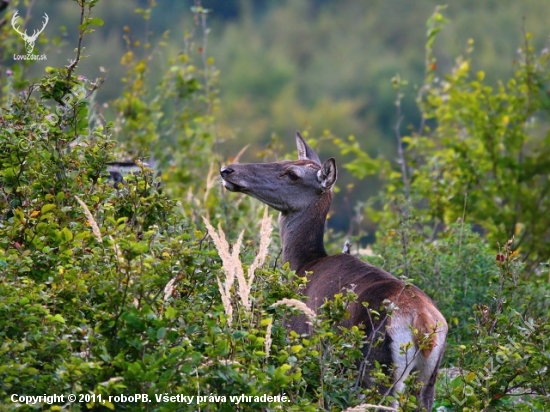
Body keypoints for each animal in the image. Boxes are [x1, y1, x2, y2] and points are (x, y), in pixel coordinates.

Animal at [220, 134, 448, 410]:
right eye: (283, 160)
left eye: (292, 174)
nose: (228, 170)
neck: (304, 265)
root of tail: (423, 324)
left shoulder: (299, 336)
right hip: (427, 379)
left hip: (375, 368)